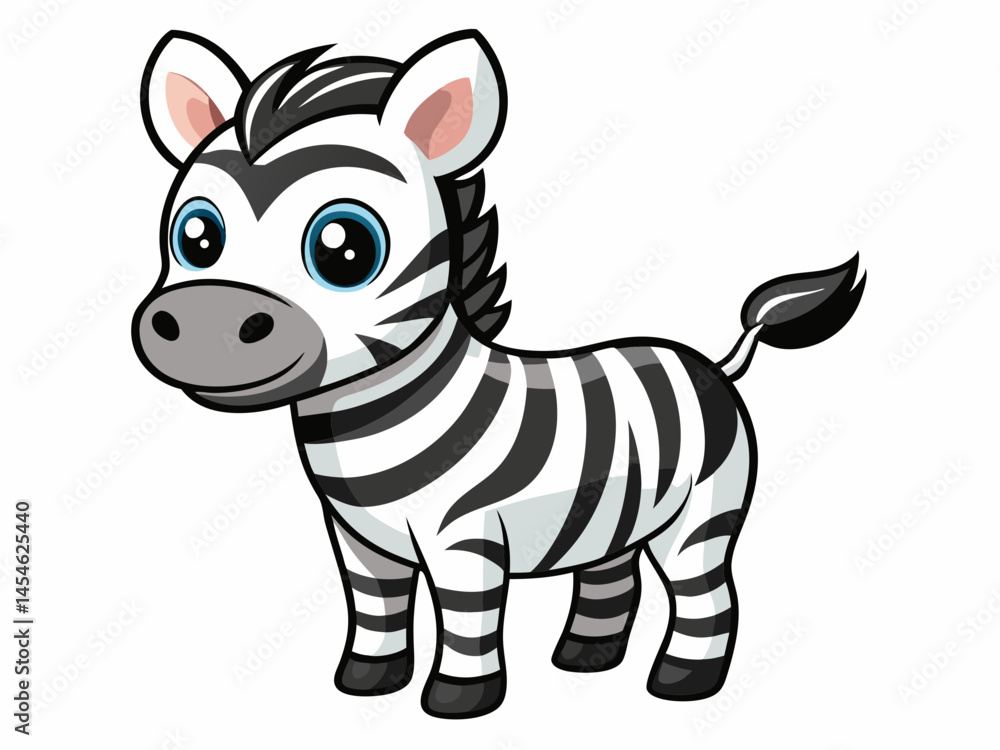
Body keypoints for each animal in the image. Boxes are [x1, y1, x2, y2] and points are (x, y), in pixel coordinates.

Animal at [133, 29, 866, 719]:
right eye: (196, 237)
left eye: (346, 249)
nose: (202, 318)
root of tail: (712, 364)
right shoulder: (358, 540)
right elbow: (375, 615)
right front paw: (366, 682)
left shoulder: (465, 538)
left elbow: (465, 621)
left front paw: (458, 701)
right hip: (617, 512)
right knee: (613, 578)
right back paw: (584, 657)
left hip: (701, 515)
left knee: (706, 596)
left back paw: (682, 683)